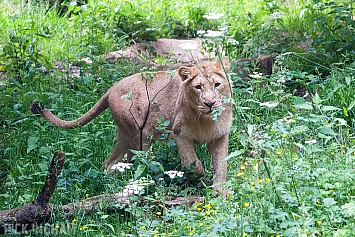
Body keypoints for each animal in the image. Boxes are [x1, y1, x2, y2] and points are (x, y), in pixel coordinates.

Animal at [32, 56, 234, 193]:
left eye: (217, 85)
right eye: (198, 87)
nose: (210, 103)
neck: (207, 120)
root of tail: (110, 89)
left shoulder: (220, 136)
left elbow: (221, 166)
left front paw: (220, 193)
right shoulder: (179, 134)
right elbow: (193, 163)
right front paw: (199, 177)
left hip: (125, 138)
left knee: (110, 162)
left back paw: (109, 182)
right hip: (140, 137)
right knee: (142, 164)